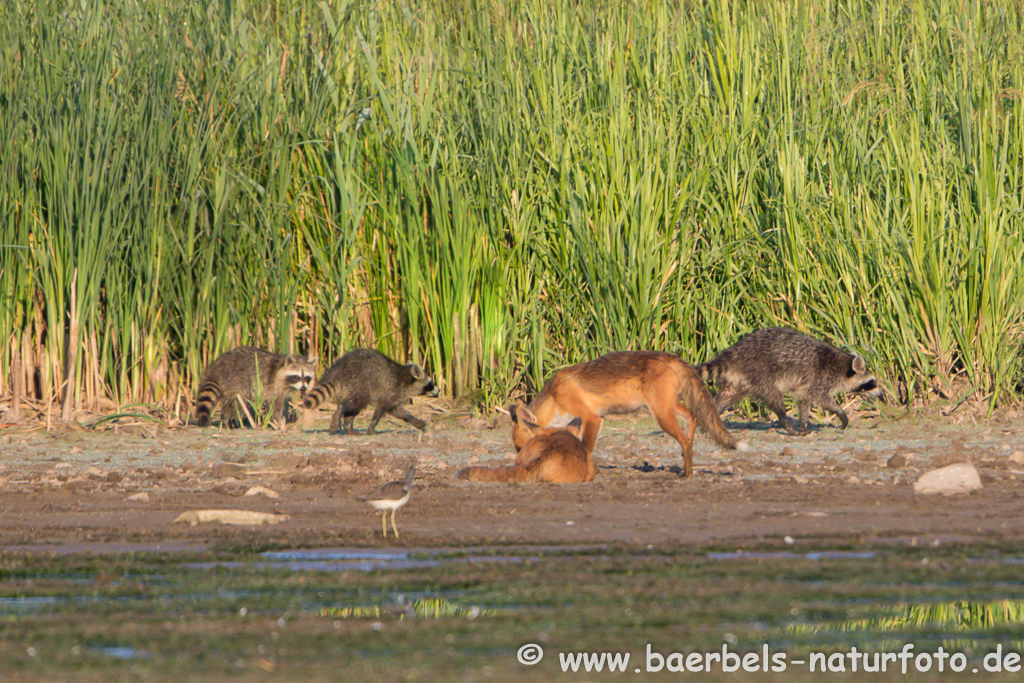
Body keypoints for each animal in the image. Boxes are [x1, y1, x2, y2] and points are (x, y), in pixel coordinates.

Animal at [299, 350, 436, 436]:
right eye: (430, 384)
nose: (438, 390)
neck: (405, 377)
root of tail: (337, 371)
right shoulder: (389, 390)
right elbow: (380, 411)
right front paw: (372, 427)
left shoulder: (393, 396)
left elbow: (398, 411)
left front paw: (414, 420)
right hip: (360, 384)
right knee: (353, 404)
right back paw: (340, 412)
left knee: (353, 409)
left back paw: (348, 427)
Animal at [516, 352, 741, 481]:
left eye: (520, 447)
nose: (518, 461)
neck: (554, 396)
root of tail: (672, 357)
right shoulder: (590, 420)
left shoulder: (592, 418)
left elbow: (586, 448)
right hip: (668, 408)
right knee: (692, 417)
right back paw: (687, 462)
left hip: (661, 415)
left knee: (685, 439)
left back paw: (687, 473)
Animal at [700, 327, 884, 436]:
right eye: (872, 383)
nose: (881, 395)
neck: (843, 366)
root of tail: (735, 353)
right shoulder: (820, 378)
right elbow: (821, 399)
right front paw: (841, 413)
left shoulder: (805, 385)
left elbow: (803, 400)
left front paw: (804, 423)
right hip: (761, 371)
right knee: (774, 396)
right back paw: (785, 422)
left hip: (740, 378)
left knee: (727, 396)